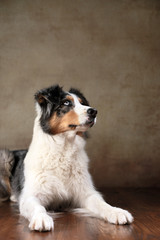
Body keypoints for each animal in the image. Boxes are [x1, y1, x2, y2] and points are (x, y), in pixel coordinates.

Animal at [0, 84, 132, 231]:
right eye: (66, 103)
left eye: (82, 103)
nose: (94, 111)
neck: (64, 149)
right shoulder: (31, 196)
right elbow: (38, 207)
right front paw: (41, 218)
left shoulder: (85, 193)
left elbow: (102, 203)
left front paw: (117, 211)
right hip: (4, 157)